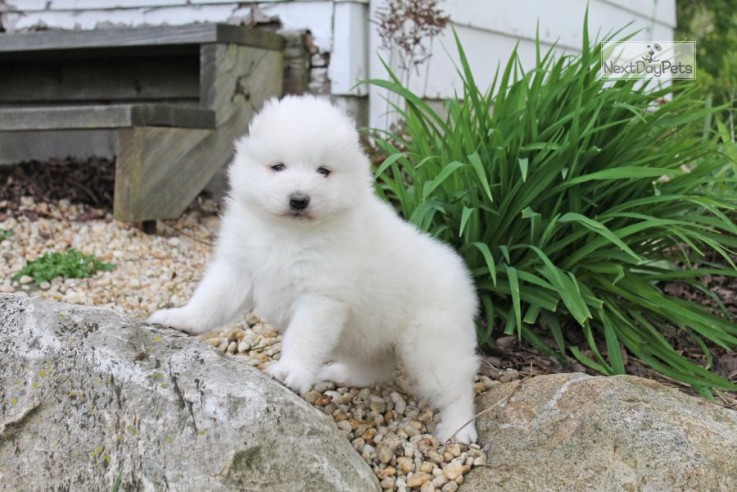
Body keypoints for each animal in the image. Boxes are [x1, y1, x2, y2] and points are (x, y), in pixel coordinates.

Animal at [150, 94, 484, 444]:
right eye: (278, 167)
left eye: (323, 171)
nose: (299, 199)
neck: (288, 234)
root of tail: (461, 275)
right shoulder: (238, 267)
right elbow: (210, 300)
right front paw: (181, 318)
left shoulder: (320, 298)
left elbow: (303, 338)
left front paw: (291, 371)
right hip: (364, 332)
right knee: (376, 366)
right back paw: (341, 374)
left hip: (430, 345)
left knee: (456, 387)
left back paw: (459, 429)